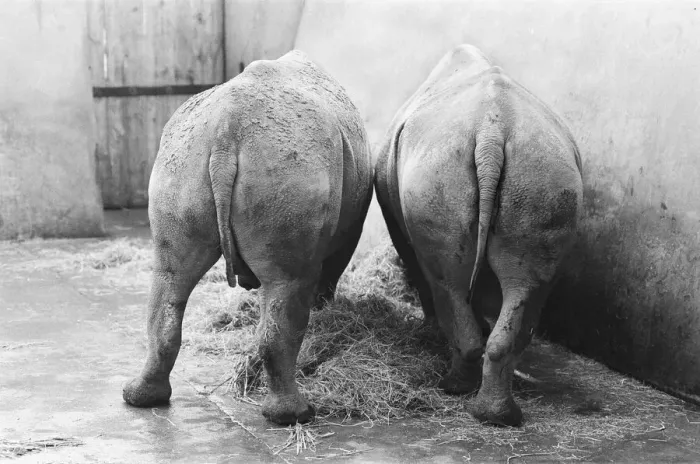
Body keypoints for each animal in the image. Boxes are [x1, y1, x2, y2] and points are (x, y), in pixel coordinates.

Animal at [123, 50, 373, 425]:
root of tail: (226, 131)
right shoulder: (350, 227)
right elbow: (330, 269)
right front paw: (324, 308)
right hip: (291, 163)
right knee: (291, 280)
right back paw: (295, 416)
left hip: (181, 162)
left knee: (169, 275)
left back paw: (140, 398)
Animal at [375, 44, 583, 426]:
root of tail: (491, 132)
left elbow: (419, 269)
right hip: (543, 171)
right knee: (525, 284)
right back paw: (498, 416)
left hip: (441, 168)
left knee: (446, 283)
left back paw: (454, 387)